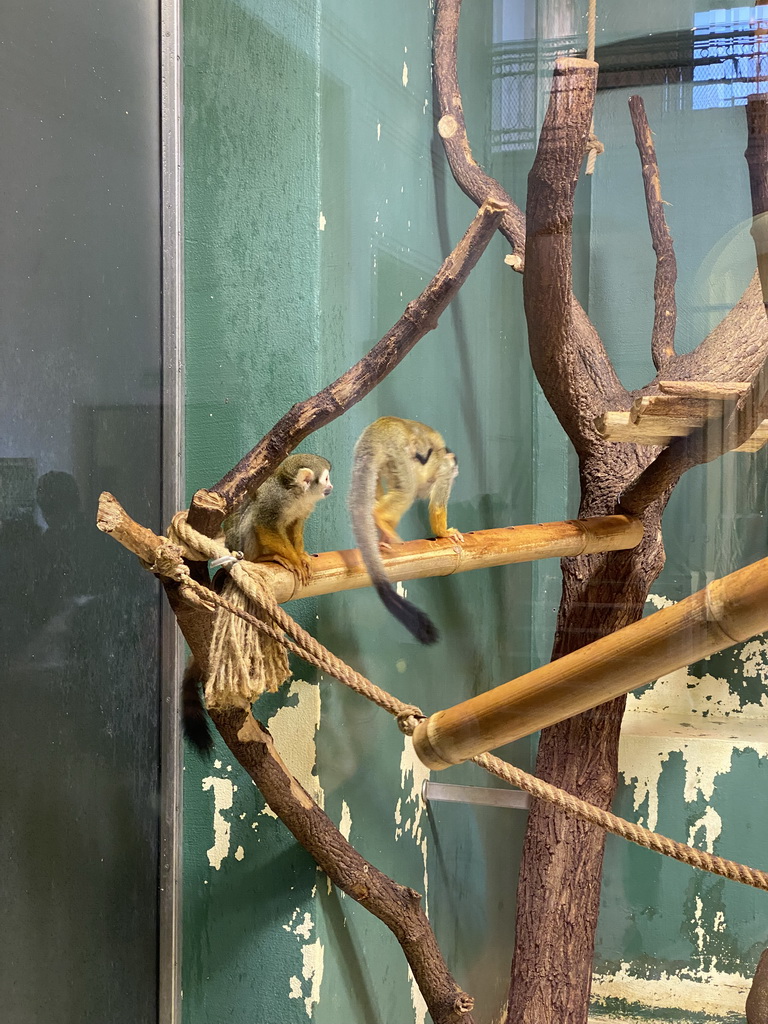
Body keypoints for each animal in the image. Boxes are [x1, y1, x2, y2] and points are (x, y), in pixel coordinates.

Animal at [185, 454, 335, 753]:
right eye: (325, 478)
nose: (331, 486)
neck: (295, 494)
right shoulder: (273, 500)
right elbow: (265, 524)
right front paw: (290, 559)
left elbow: (294, 525)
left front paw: (301, 556)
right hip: (239, 544)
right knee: (250, 518)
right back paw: (266, 559)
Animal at [348, 413, 462, 638]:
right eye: (454, 471)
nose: (458, 472)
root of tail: (373, 435)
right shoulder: (444, 472)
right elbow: (436, 504)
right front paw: (445, 533)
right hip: (397, 452)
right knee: (407, 489)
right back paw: (378, 516)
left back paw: (381, 532)